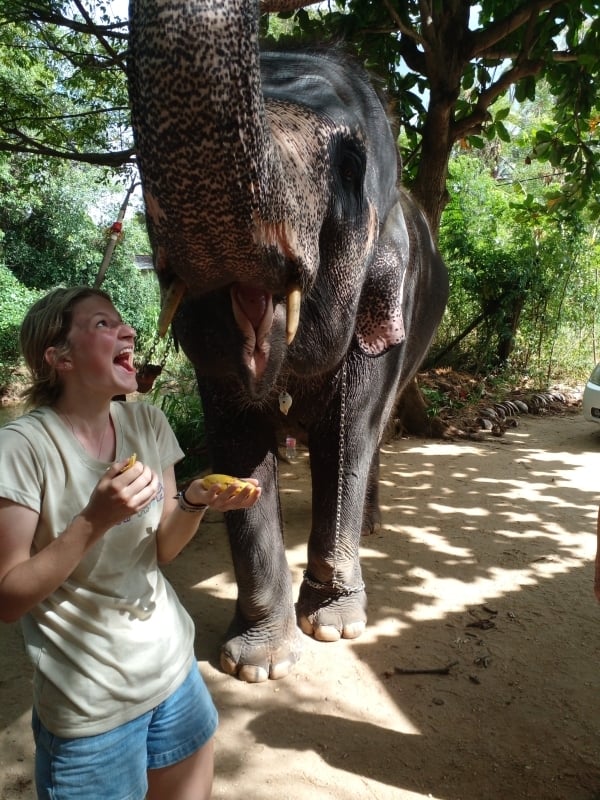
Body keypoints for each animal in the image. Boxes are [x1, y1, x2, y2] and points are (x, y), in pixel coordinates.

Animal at [129, 0, 448, 680]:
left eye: (350, 168)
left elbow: (350, 435)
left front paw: (332, 625)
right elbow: (238, 442)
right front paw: (259, 663)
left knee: (374, 434)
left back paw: (371, 526)